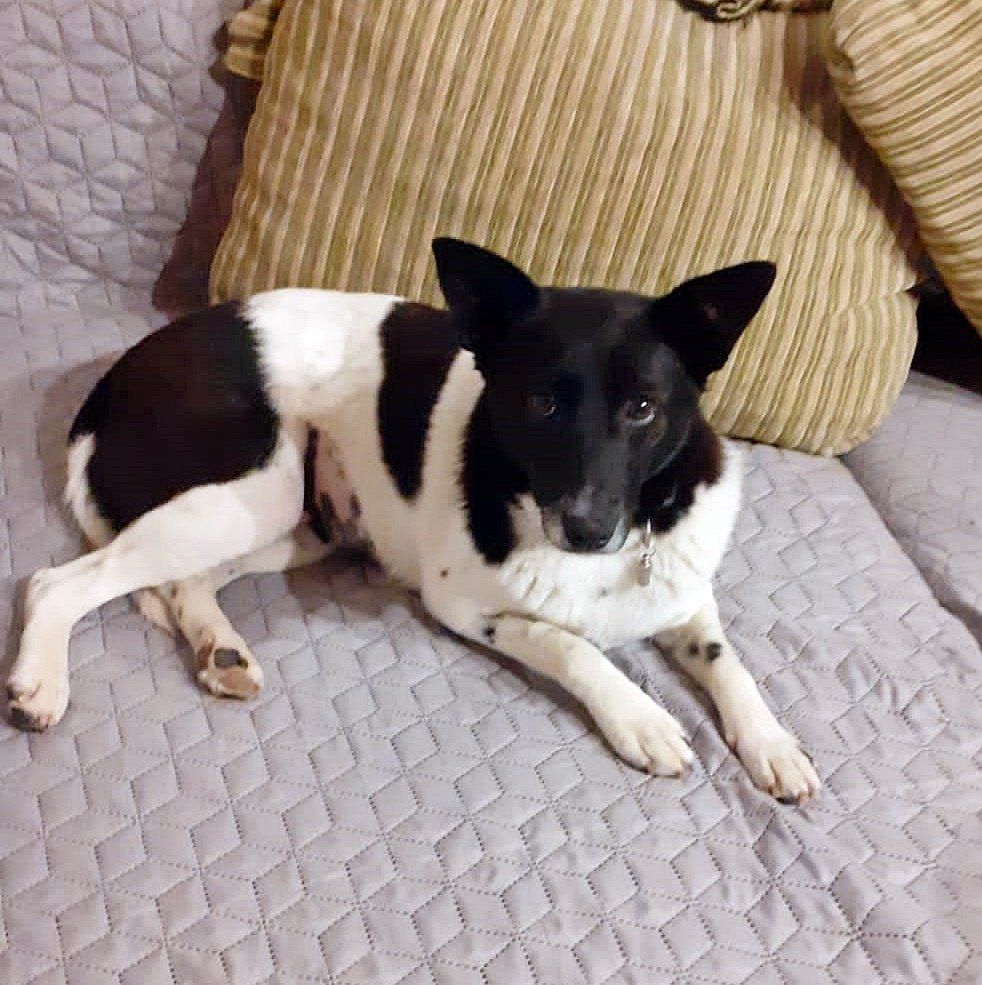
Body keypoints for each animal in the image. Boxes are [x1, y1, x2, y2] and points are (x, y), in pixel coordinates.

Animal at [7, 239, 819, 802]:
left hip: (292, 525)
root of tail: (106, 389)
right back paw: (41, 682)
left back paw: (220, 647)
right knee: (59, 583)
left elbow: (726, 659)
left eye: (643, 408)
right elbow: (571, 645)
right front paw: (640, 716)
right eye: (541, 403)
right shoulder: (464, 605)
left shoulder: (684, 592)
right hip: (254, 489)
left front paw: (773, 742)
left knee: (181, 583)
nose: (588, 530)